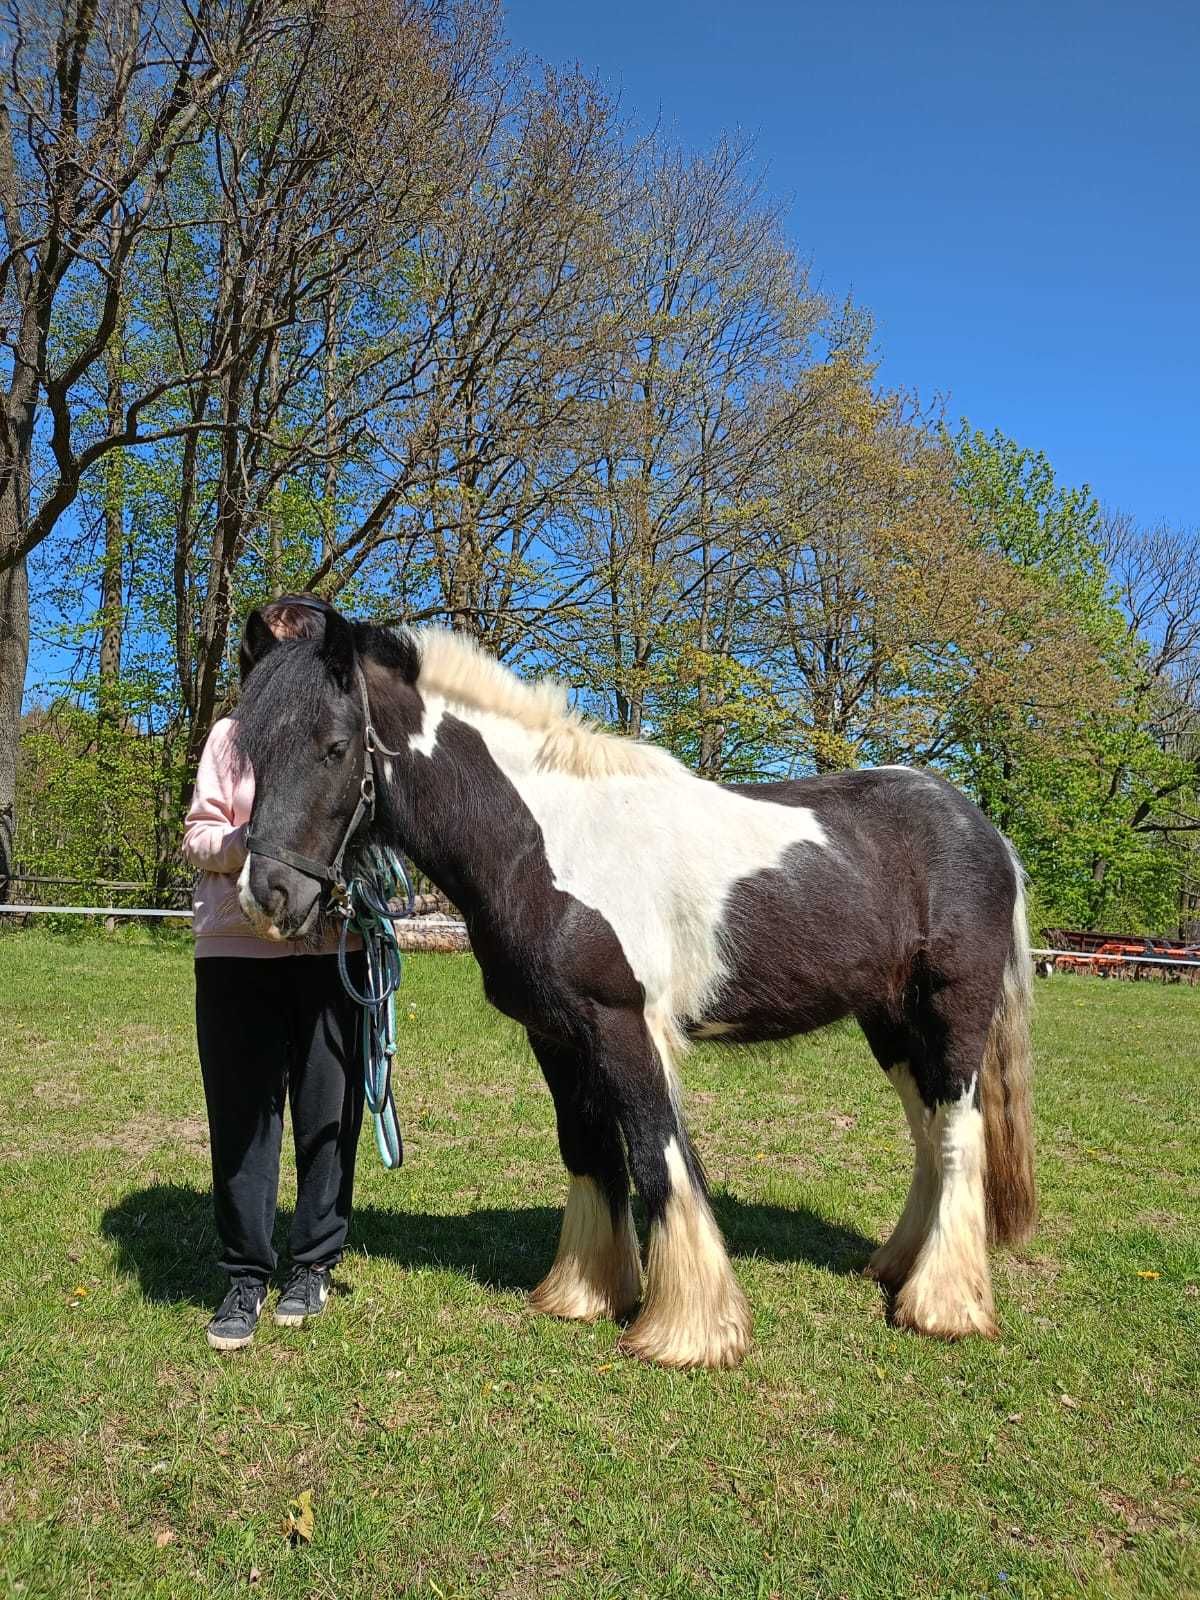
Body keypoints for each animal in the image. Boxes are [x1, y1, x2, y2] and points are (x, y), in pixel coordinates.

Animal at [232, 604, 1036, 1369]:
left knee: (958, 1131)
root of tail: (983, 830)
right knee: (929, 1131)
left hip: (952, 1014)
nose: (268, 896)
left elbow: (657, 1155)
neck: (544, 841)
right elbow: (589, 1152)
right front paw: (582, 1294)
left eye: (336, 747)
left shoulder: (621, 1024)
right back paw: (899, 1269)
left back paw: (942, 1306)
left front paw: (689, 1331)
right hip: (892, 1024)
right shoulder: (555, 1034)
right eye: (250, 753)